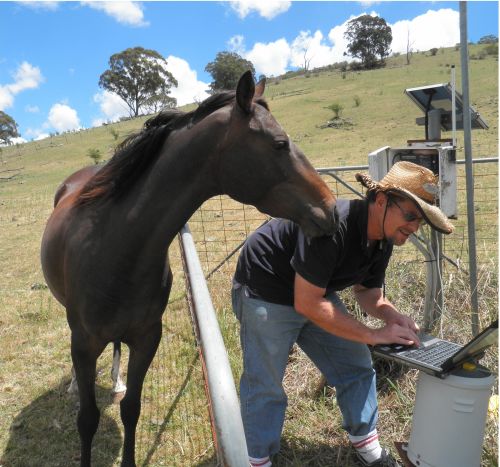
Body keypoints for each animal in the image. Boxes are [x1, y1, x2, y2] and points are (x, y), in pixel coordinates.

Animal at [41, 70, 340, 467]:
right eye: (279, 144)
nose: (330, 208)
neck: (114, 247)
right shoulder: (86, 342)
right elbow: (87, 419)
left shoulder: (148, 338)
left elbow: (131, 409)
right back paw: (77, 382)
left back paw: (117, 380)